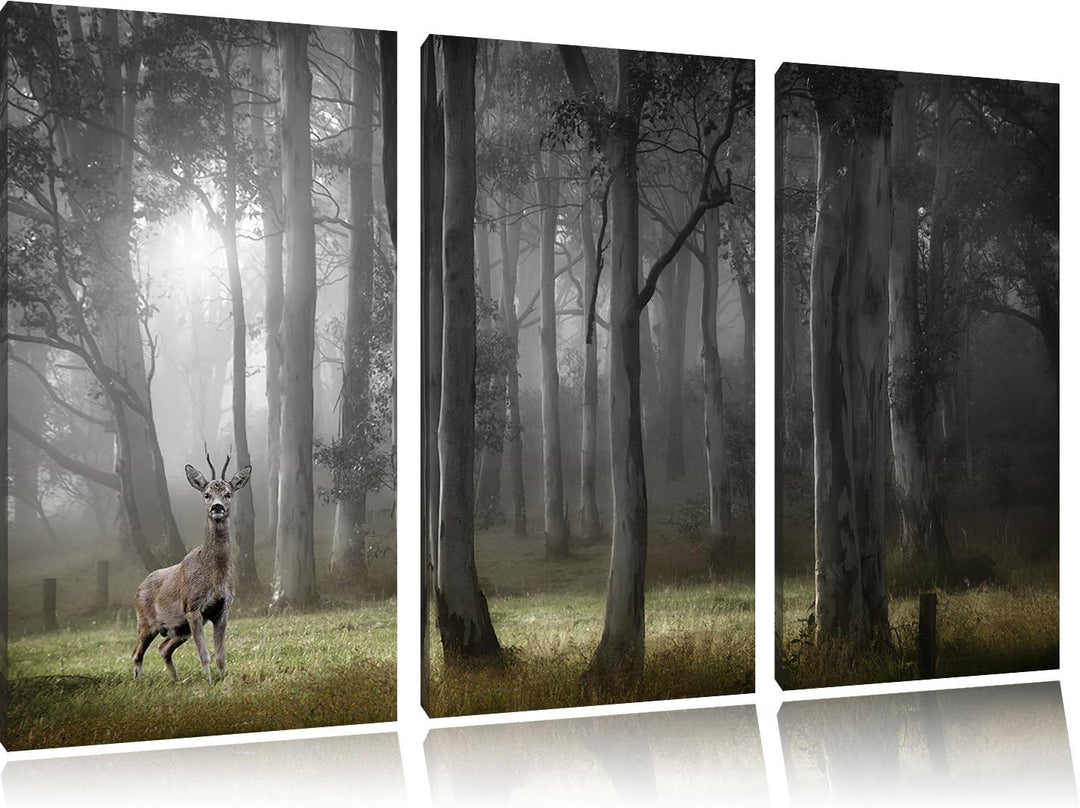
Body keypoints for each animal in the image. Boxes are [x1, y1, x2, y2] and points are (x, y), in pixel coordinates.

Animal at [132, 451, 251, 682]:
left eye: (228, 494)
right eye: (206, 494)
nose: (217, 507)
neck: (215, 574)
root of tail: (138, 587)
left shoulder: (223, 609)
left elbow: (220, 655)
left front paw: (224, 679)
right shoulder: (192, 608)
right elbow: (204, 654)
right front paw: (210, 682)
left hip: (178, 629)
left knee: (163, 648)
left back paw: (176, 680)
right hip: (145, 622)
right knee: (136, 654)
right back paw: (139, 681)